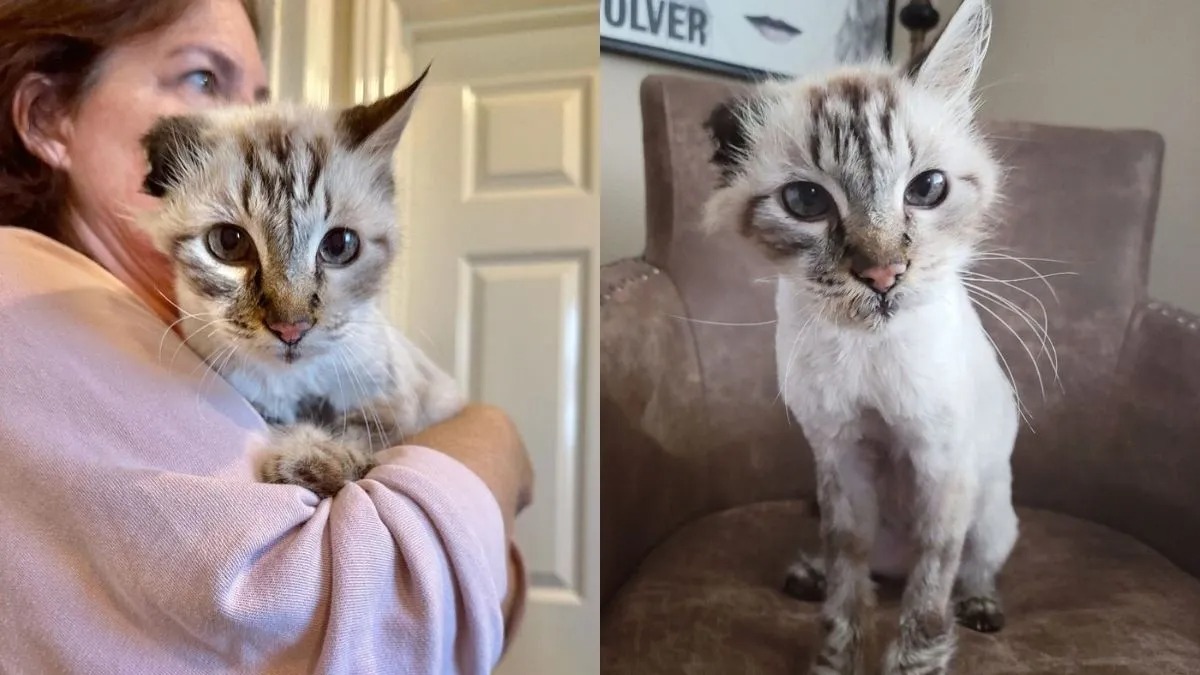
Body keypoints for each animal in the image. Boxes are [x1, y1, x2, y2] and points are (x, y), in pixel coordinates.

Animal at [135, 68, 463, 497]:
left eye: (339, 246)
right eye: (229, 243)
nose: (290, 328)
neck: (292, 384)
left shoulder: (405, 404)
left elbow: (359, 431)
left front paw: (314, 459)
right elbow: (284, 422)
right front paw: (305, 450)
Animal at [700, 1, 1012, 672]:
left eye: (927, 189)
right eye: (806, 201)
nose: (882, 274)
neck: (869, 348)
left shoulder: (941, 463)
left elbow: (928, 601)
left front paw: (913, 663)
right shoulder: (838, 455)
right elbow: (847, 580)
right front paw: (838, 660)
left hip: (991, 508)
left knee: (971, 569)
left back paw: (980, 607)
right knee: (864, 566)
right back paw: (810, 574)